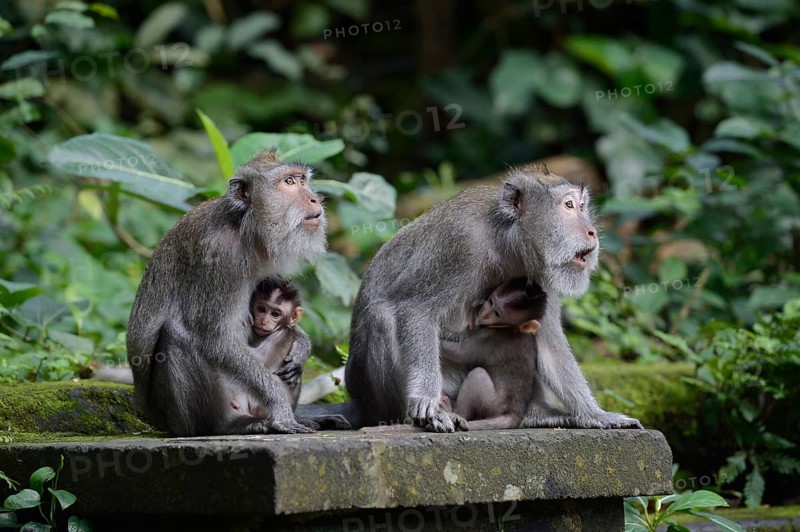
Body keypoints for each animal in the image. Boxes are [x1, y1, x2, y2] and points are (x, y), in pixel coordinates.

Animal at [126, 149, 350, 436]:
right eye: (288, 182)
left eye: (302, 180)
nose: (313, 198)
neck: (244, 228)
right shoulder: (218, 254)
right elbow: (215, 339)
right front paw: (280, 408)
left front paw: (302, 346)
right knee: (177, 334)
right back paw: (230, 426)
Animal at [438, 278, 546, 430]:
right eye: (490, 301)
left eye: (497, 313)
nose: (483, 314)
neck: (511, 328)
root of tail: (513, 414)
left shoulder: (489, 337)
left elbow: (458, 352)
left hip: (491, 404)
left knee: (477, 374)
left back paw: (453, 411)